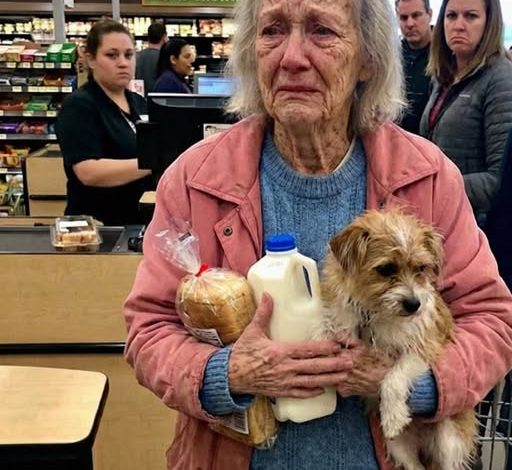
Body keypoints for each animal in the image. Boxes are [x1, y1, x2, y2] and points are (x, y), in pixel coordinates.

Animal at [318, 210, 476, 470]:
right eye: (386, 269)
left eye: (421, 268)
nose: (414, 305)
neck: (377, 314)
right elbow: (328, 328)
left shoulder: (424, 348)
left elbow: (395, 375)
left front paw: (392, 416)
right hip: (399, 447)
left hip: (449, 438)